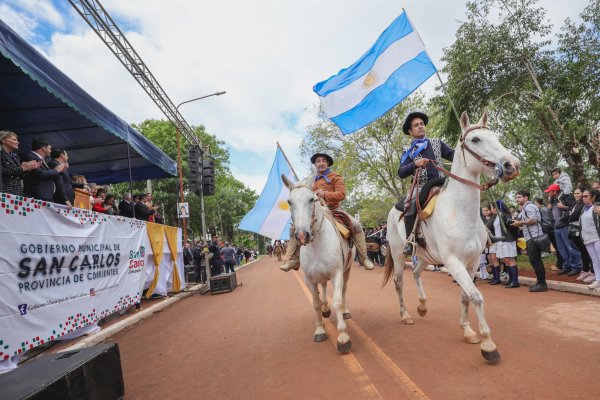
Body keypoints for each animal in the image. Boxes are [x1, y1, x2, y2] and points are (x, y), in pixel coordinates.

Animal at [282, 173, 356, 354]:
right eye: (289, 202)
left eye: (311, 199)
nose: (302, 235)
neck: (317, 244)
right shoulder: (309, 279)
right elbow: (315, 303)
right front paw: (320, 330)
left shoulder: (337, 273)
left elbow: (337, 300)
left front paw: (343, 337)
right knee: (323, 288)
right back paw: (325, 309)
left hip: (347, 270)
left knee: (344, 291)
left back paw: (345, 311)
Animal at [384, 111, 520, 364]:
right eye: (475, 139)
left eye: (496, 136)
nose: (512, 165)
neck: (461, 212)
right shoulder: (453, 262)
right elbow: (476, 296)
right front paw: (488, 345)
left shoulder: (473, 261)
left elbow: (466, 296)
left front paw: (467, 330)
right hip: (398, 255)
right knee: (399, 282)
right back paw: (406, 314)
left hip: (425, 256)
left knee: (416, 273)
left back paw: (422, 307)